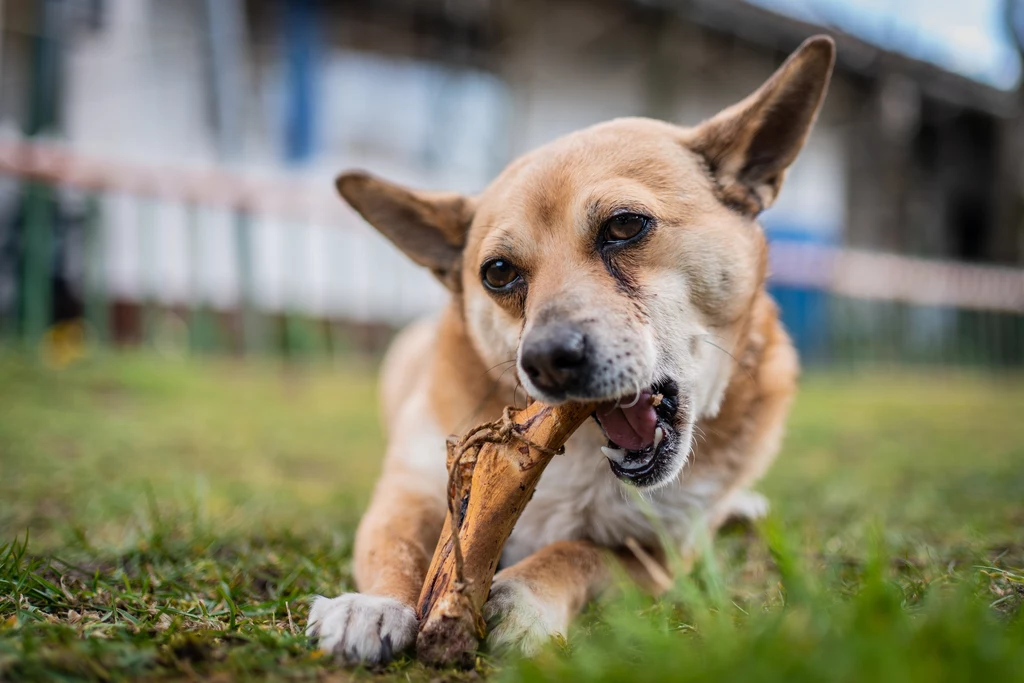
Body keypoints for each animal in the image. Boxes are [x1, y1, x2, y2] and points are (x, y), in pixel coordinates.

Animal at [307, 36, 835, 663]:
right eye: (498, 273)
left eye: (626, 225)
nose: (546, 361)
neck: (577, 453)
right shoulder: (411, 489)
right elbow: (397, 546)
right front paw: (371, 605)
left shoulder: (660, 554)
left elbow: (578, 552)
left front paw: (524, 596)